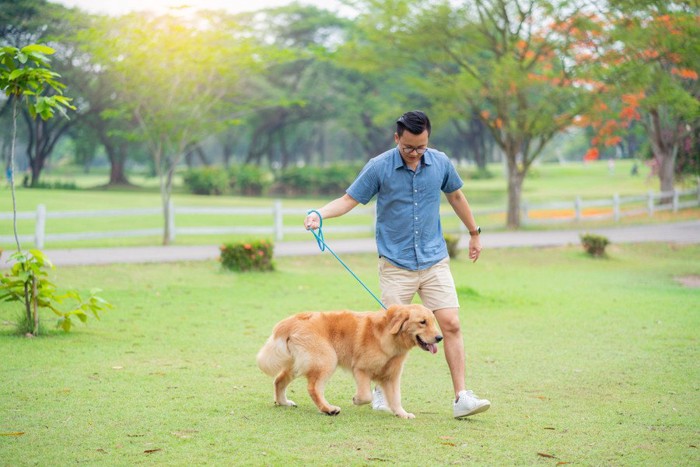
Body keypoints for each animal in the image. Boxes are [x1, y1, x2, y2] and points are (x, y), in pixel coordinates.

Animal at [258, 304, 442, 420]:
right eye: (422, 322)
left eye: (433, 321)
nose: (440, 337)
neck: (387, 335)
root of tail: (290, 321)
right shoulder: (361, 369)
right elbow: (366, 395)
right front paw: (356, 400)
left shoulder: (392, 377)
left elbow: (396, 398)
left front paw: (402, 414)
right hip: (327, 359)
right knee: (313, 388)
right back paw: (328, 409)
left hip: (299, 364)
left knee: (279, 380)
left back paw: (283, 402)